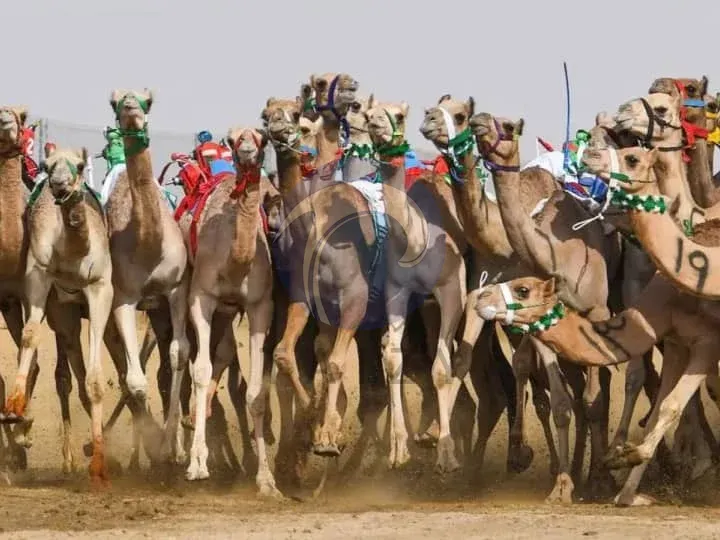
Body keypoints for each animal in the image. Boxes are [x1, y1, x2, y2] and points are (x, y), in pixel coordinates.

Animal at [3, 146, 113, 485]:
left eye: (79, 164)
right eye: (46, 165)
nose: (61, 185)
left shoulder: (101, 288)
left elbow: (95, 381)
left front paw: (99, 466)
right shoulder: (38, 277)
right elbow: (29, 336)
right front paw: (14, 407)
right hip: (63, 315)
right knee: (66, 372)